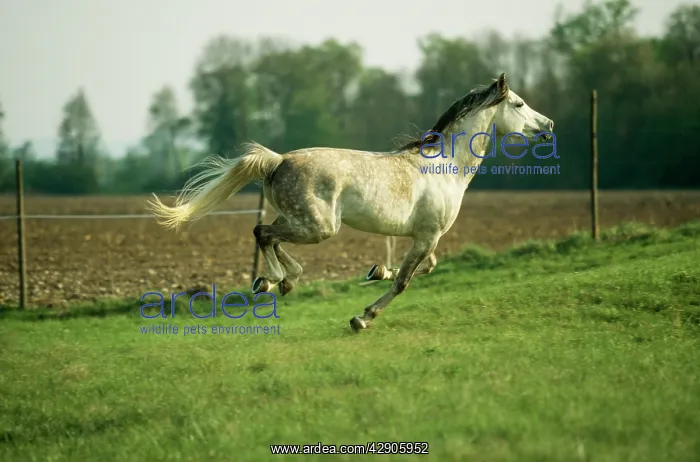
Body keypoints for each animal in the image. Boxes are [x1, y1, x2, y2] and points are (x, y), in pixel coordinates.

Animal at [147, 73, 554, 333]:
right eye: (519, 103)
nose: (548, 125)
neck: (447, 167)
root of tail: (278, 161)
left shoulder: (424, 237)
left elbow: (426, 268)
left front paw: (376, 270)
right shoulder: (428, 236)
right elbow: (405, 281)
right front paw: (362, 318)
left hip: (302, 221)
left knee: (270, 236)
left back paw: (280, 281)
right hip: (319, 227)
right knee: (262, 232)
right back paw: (273, 281)